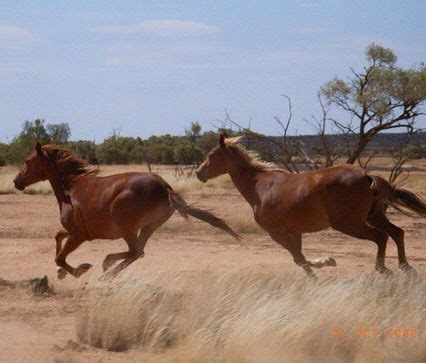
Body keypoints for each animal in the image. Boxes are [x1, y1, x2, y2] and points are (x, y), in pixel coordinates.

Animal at [14, 144, 240, 280]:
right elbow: (57, 237)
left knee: (134, 252)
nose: (17, 181)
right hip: (148, 227)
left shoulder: (79, 236)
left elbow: (60, 257)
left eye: (27, 161)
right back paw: (108, 268)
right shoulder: (72, 232)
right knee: (138, 252)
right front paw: (62, 272)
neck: (71, 189)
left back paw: (106, 270)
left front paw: (79, 270)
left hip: (126, 227)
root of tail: (165, 187)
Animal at [196, 135, 426, 278]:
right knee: (397, 232)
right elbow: (300, 257)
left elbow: (299, 259)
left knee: (381, 237)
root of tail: (367, 175)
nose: (199, 173)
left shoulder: (275, 232)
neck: (259, 186)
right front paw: (325, 261)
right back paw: (406, 267)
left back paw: (383, 269)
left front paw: (322, 267)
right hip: (373, 216)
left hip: (349, 224)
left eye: (212, 155)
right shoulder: (294, 230)